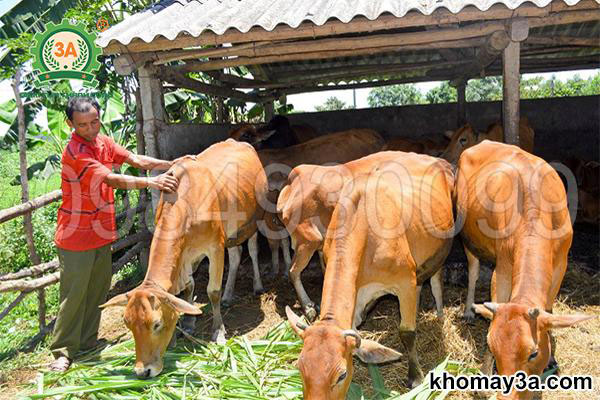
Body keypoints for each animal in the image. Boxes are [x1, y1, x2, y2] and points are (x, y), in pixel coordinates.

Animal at [100, 139, 268, 376]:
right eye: (127, 324)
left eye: (157, 324)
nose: (143, 372)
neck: (186, 204)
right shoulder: (186, 255)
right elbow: (188, 288)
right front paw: (188, 324)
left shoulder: (215, 247)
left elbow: (212, 291)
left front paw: (218, 331)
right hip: (232, 232)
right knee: (235, 256)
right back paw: (229, 295)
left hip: (252, 222)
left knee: (251, 250)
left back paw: (257, 285)